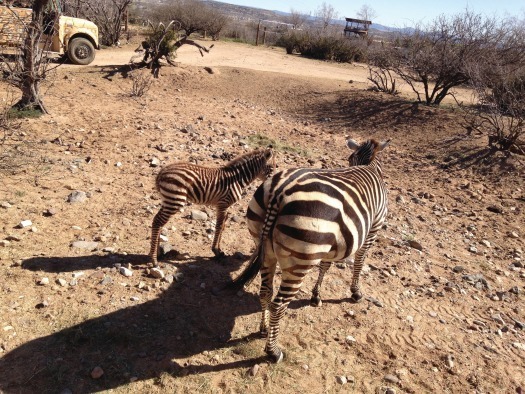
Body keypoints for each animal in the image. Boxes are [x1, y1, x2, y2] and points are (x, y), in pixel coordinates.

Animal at [225, 139, 388, 364]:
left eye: (349, 158)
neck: (368, 166)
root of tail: (279, 192)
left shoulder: (330, 243)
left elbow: (325, 266)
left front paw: (316, 296)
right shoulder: (373, 229)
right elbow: (359, 262)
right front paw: (356, 292)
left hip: (265, 247)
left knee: (265, 291)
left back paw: (264, 329)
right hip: (299, 261)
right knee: (278, 304)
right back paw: (273, 351)